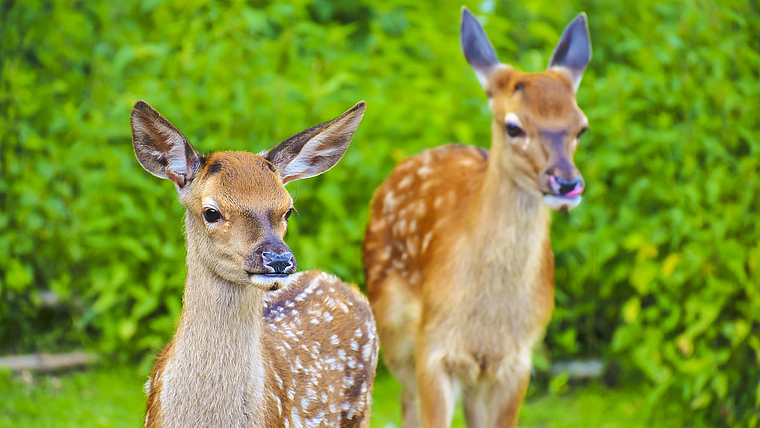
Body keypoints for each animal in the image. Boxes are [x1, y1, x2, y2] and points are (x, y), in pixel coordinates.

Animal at [362, 7, 592, 428]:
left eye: (580, 126)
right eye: (513, 126)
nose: (566, 182)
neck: (487, 322)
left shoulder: (517, 359)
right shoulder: (434, 347)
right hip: (393, 329)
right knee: (405, 400)